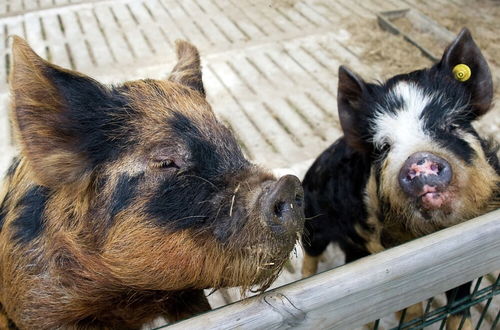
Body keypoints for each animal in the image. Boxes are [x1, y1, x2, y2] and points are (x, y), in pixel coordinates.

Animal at [300, 28, 500, 330]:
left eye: (452, 125)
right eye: (383, 146)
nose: (419, 160)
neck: (433, 233)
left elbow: (460, 306)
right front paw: (412, 316)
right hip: (314, 223)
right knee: (310, 257)